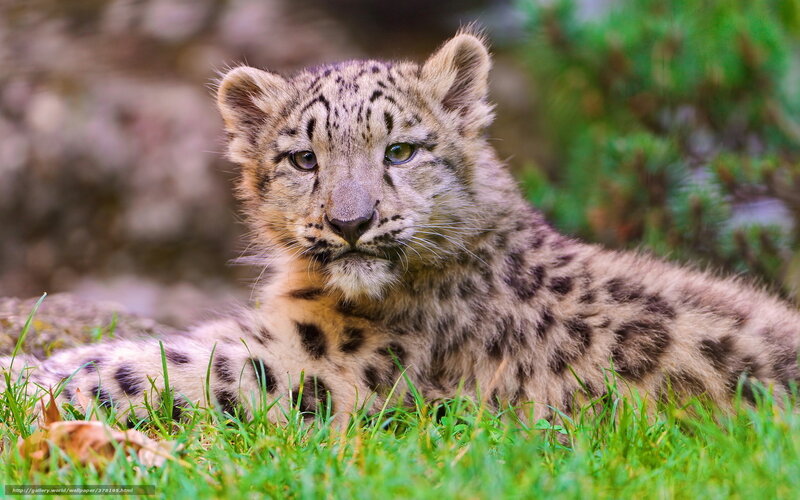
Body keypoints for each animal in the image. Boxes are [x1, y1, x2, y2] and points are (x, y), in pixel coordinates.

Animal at [3, 30, 800, 427]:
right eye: (303, 158)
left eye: (400, 151)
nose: (352, 222)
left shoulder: (316, 364)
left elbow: (155, 367)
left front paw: (26, 377)